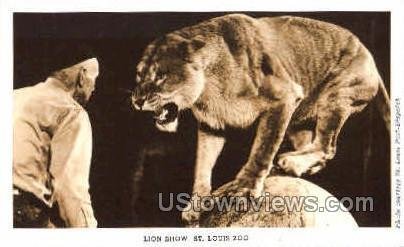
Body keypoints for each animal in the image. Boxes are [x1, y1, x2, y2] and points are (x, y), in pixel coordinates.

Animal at [131, 13, 390, 226]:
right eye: (139, 75)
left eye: (160, 76)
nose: (137, 100)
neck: (207, 87)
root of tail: (372, 59)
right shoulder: (212, 124)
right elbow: (202, 164)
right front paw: (197, 204)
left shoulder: (284, 97)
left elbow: (262, 149)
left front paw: (244, 188)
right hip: (299, 122)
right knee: (316, 148)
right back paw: (292, 166)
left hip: (336, 97)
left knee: (327, 147)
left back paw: (289, 162)